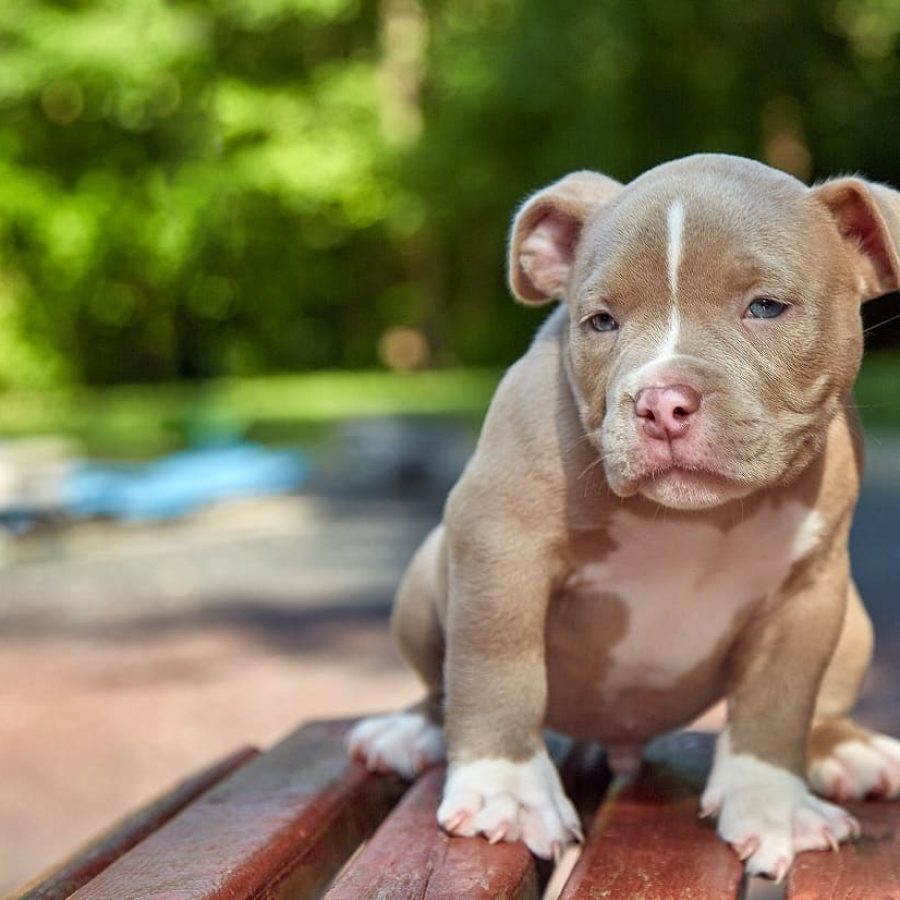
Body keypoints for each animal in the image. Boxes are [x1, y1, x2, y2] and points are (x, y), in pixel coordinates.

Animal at [344, 153, 900, 880]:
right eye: (601, 322)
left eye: (766, 307)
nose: (661, 402)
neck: (694, 520)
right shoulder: (500, 542)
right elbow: (495, 663)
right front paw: (506, 789)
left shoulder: (809, 589)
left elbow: (780, 699)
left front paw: (770, 803)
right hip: (422, 577)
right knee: (443, 680)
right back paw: (410, 729)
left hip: (853, 619)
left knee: (823, 703)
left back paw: (843, 748)